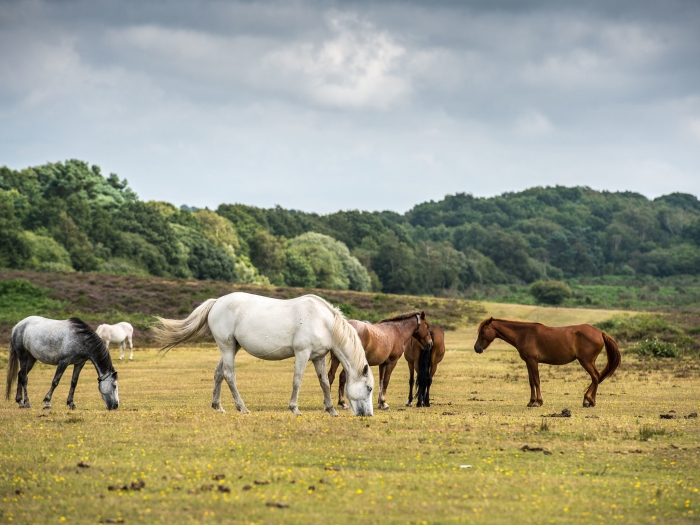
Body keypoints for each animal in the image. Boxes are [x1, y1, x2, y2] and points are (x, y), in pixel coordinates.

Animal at [151, 292, 374, 416]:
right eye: (370, 388)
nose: (368, 415)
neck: (322, 321)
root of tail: (216, 302)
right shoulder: (302, 354)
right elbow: (297, 381)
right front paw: (294, 408)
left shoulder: (318, 357)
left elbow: (325, 382)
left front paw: (331, 410)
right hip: (227, 347)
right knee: (229, 375)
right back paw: (242, 407)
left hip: (231, 348)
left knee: (218, 374)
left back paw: (218, 406)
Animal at [474, 318, 620, 408]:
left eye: (483, 331)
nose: (477, 348)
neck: (524, 334)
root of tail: (600, 333)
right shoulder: (528, 362)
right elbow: (531, 381)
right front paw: (531, 402)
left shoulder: (533, 361)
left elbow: (537, 381)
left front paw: (538, 402)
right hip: (590, 361)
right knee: (597, 377)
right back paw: (591, 401)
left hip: (586, 361)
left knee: (595, 377)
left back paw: (587, 400)